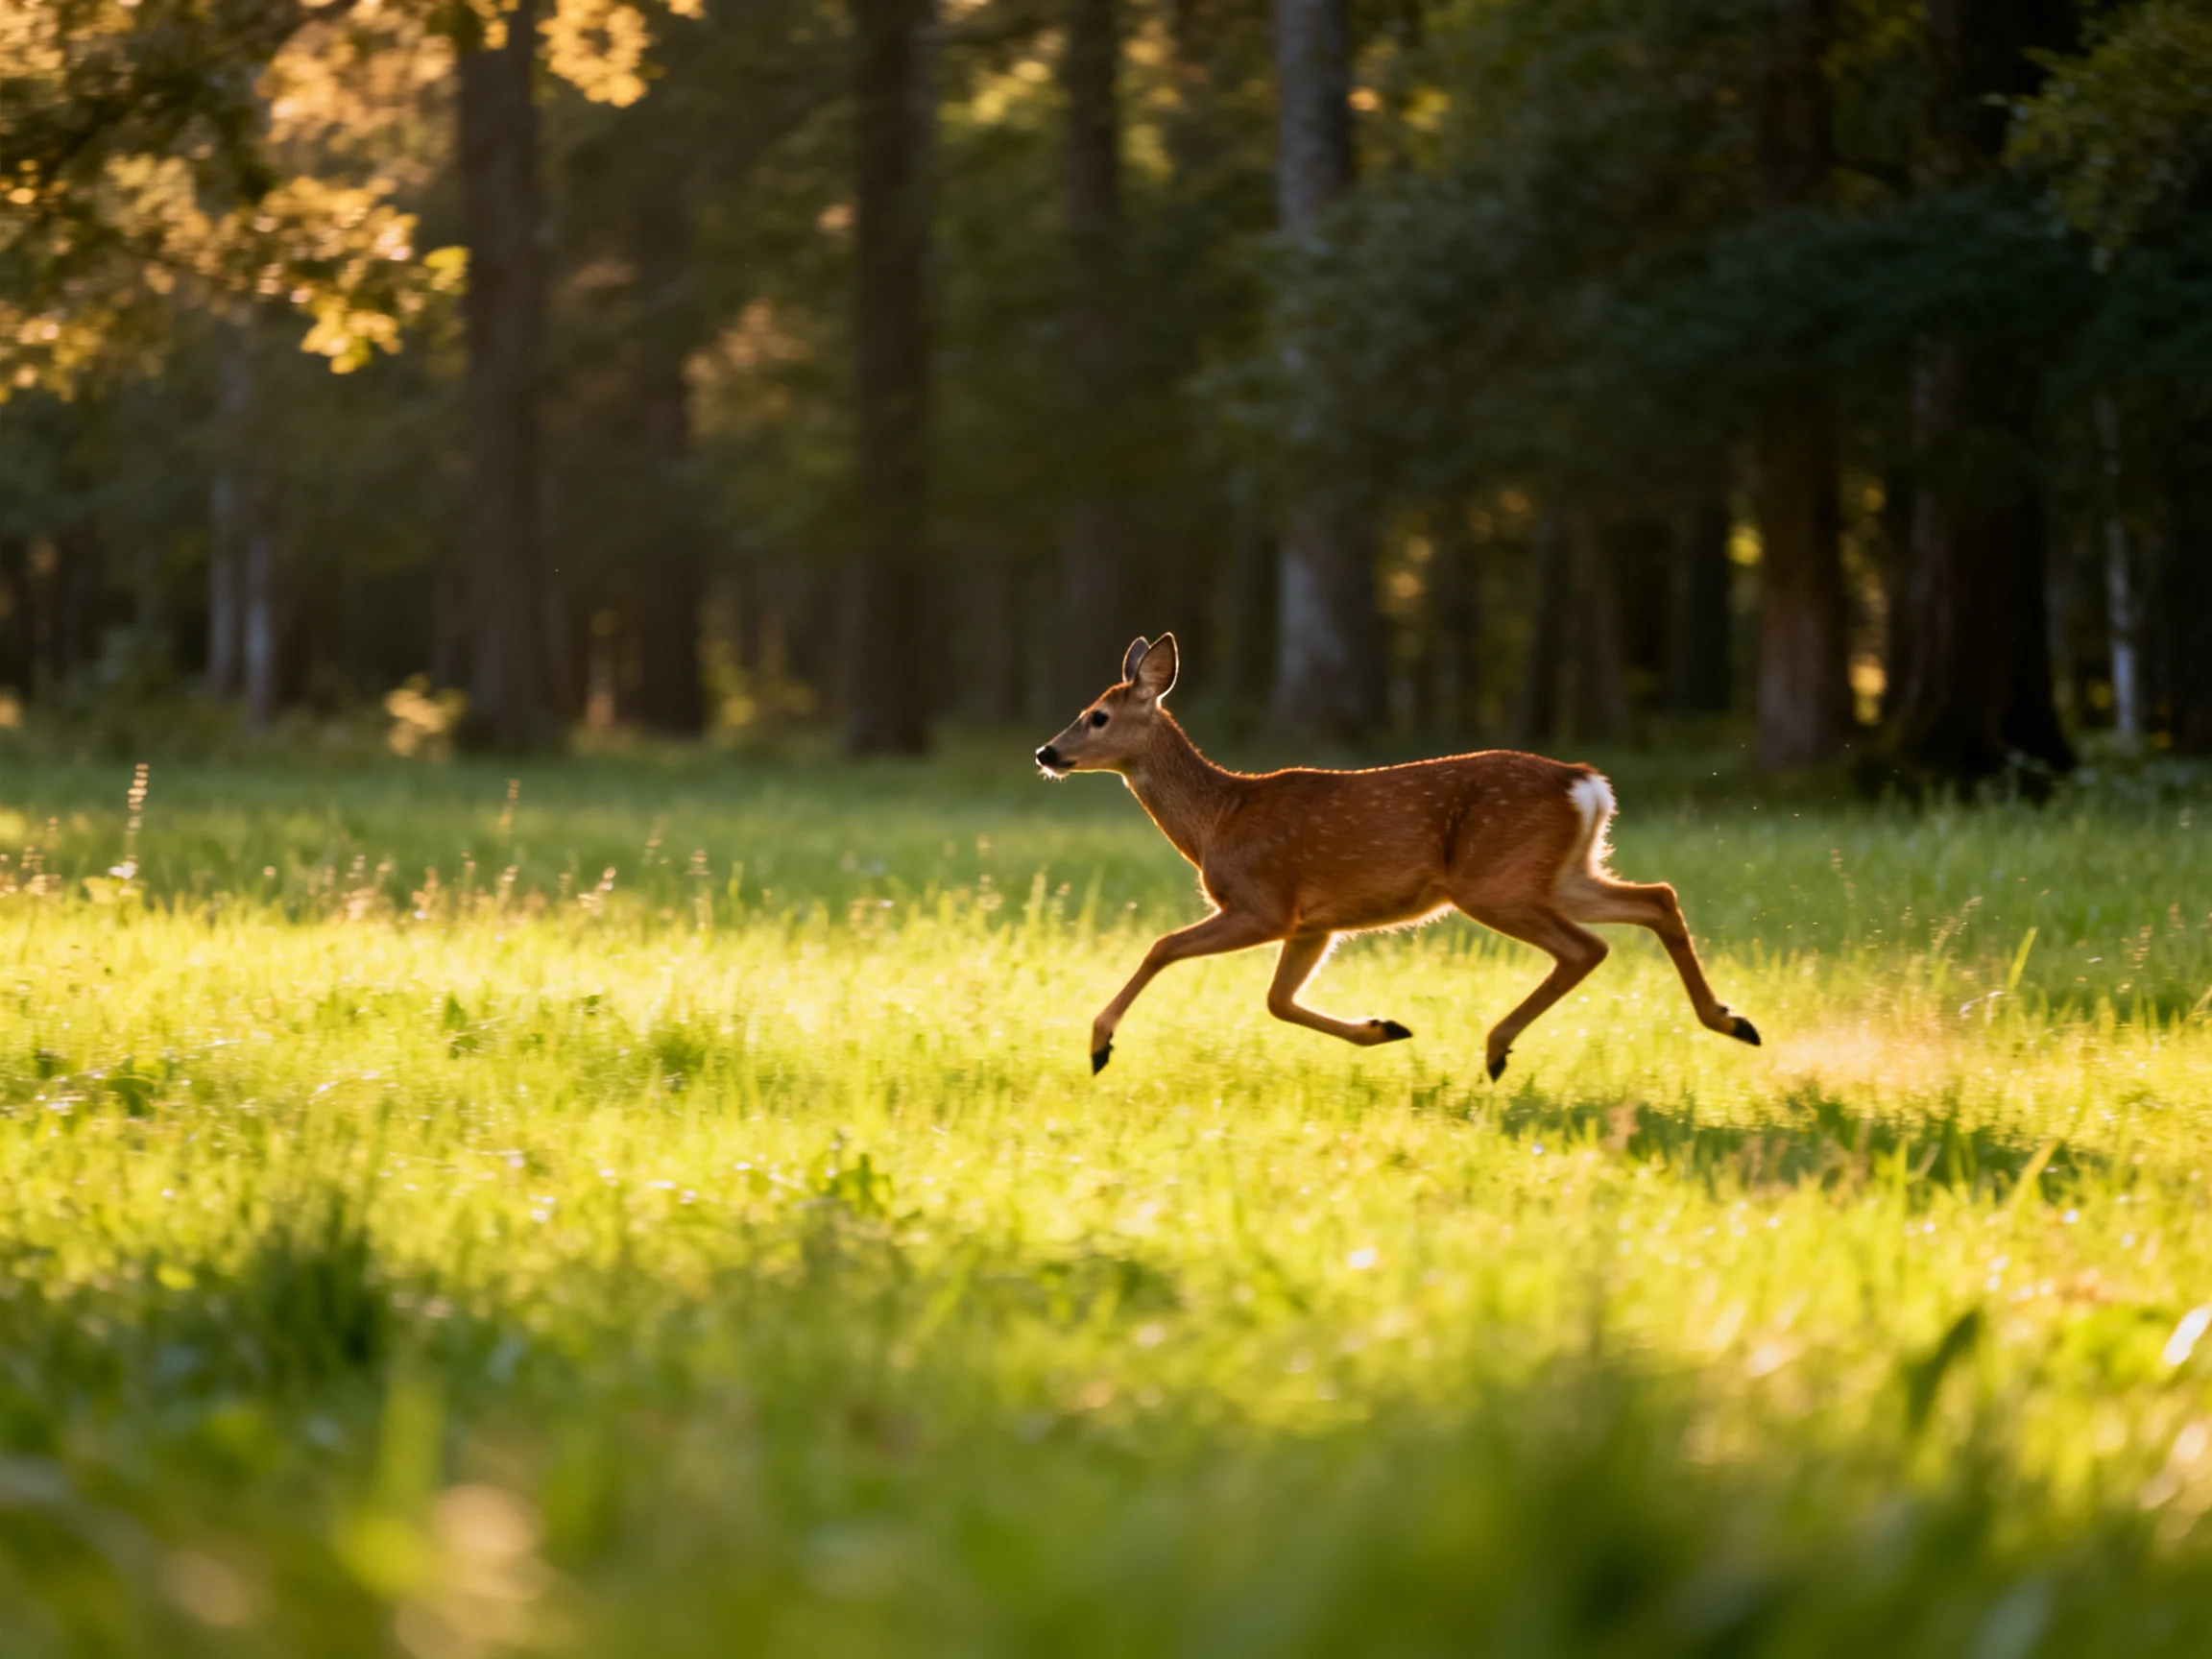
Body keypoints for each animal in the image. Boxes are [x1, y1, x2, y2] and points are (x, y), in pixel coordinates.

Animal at [1034, 634, 1761, 1078]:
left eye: (1097, 716)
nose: (1047, 752)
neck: (1219, 819)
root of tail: (1586, 785)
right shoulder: (1314, 924)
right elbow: (1277, 1001)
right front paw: (1383, 1029)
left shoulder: (1264, 902)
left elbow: (1162, 946)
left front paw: (1099, 1042)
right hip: (1558, 873)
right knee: (1657, 898)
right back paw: (1732, 1021)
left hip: (1492, 880)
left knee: (1587, 946)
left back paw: (1497, 1049)